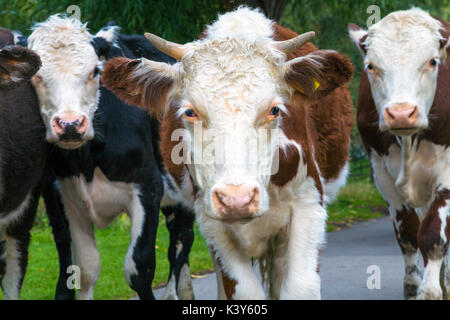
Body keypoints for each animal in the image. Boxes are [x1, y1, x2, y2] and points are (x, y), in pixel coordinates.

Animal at [27, 15, 196, 300]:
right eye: (36, 75)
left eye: (95, 71)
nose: (70, 124)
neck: (87, 160)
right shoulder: (62, 196)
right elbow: (84, 269)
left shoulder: (148, 186)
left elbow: (139, 268)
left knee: (181, 239)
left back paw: (175, 293)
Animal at [100, 6, 354, 298]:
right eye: (190, 111)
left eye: (274, 109)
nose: (237, 199)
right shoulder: (212, 224)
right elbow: (243, 290)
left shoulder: (309, 204)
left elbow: (300, 287)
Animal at [350, 8, 450, 300]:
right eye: (370, 66)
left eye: (432, 61)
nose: (402, 113)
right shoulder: (382, 175)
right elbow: (408, 235)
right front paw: (414, 287)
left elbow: (433, 235)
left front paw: (431, 291)